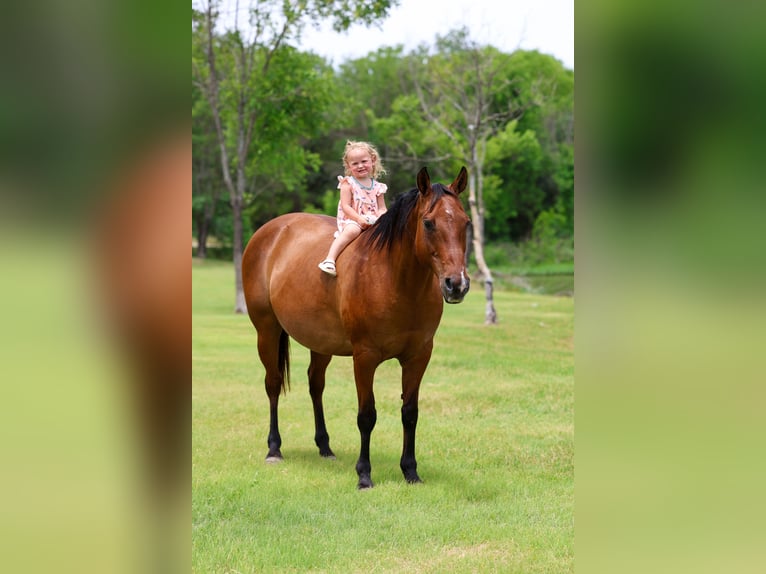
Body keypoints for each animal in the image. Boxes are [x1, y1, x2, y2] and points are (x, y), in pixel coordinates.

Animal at [242, 166, 470, 489]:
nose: (456, 284)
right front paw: (364, 474)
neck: (394, 280)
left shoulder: (418, 357)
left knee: (315, 384)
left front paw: (410, 471)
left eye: (466, 223)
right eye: (428, 223)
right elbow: (367, 415)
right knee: (273, 384)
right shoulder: (365, 358)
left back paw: (325, 446)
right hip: (267, 331)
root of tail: (270, 230)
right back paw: (274, 448)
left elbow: (410, 413)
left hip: (320, 342)